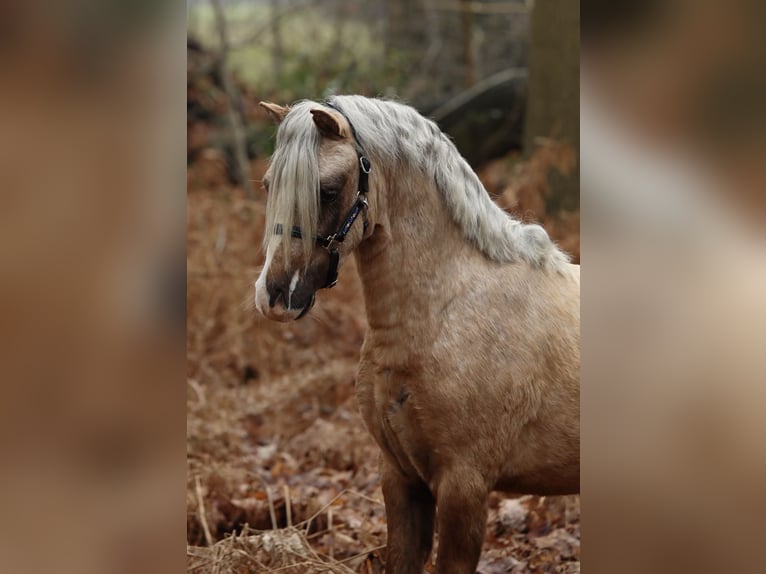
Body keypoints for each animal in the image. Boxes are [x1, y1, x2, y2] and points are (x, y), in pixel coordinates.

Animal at [254, 95, 580, 574]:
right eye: (268, 184)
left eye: (328, 190)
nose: (275, 295)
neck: (444, 309)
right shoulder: (401, 479)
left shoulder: (464, 487)